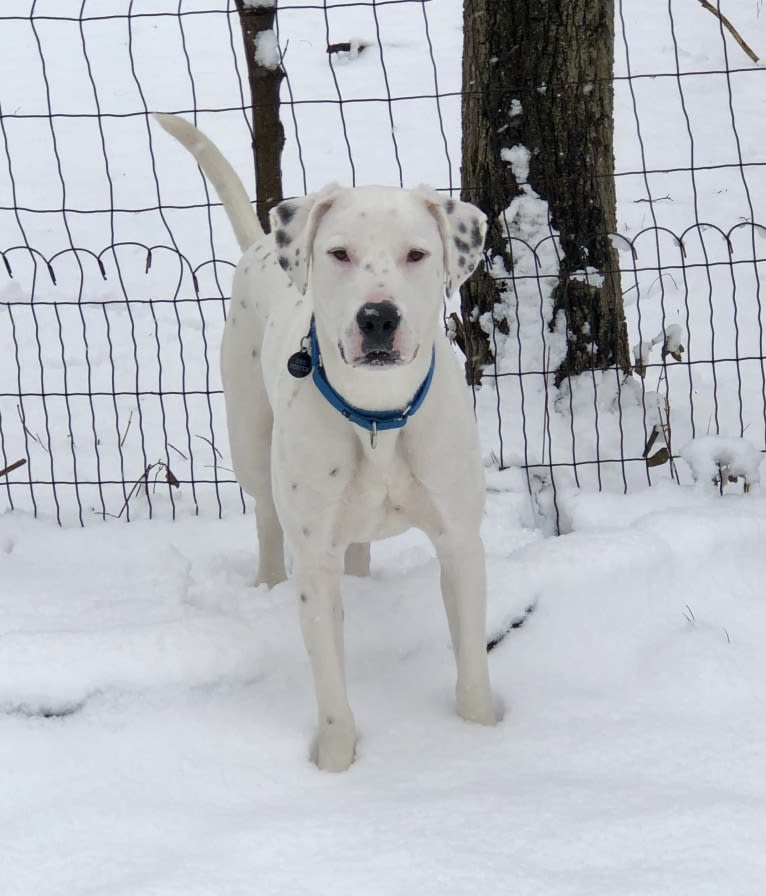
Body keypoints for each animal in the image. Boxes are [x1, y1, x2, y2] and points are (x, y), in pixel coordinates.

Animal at [154, 114, 498, 768]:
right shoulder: (314, 560)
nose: (378, 317)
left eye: (417, 254)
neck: (378, 413)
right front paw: (336, 762)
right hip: (251, 442)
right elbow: (331, 679)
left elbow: (471, 656)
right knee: (266, 516)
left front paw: (480, 730)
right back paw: (266, 582)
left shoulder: (462, 541)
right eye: (339, 253)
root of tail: (262, 244)